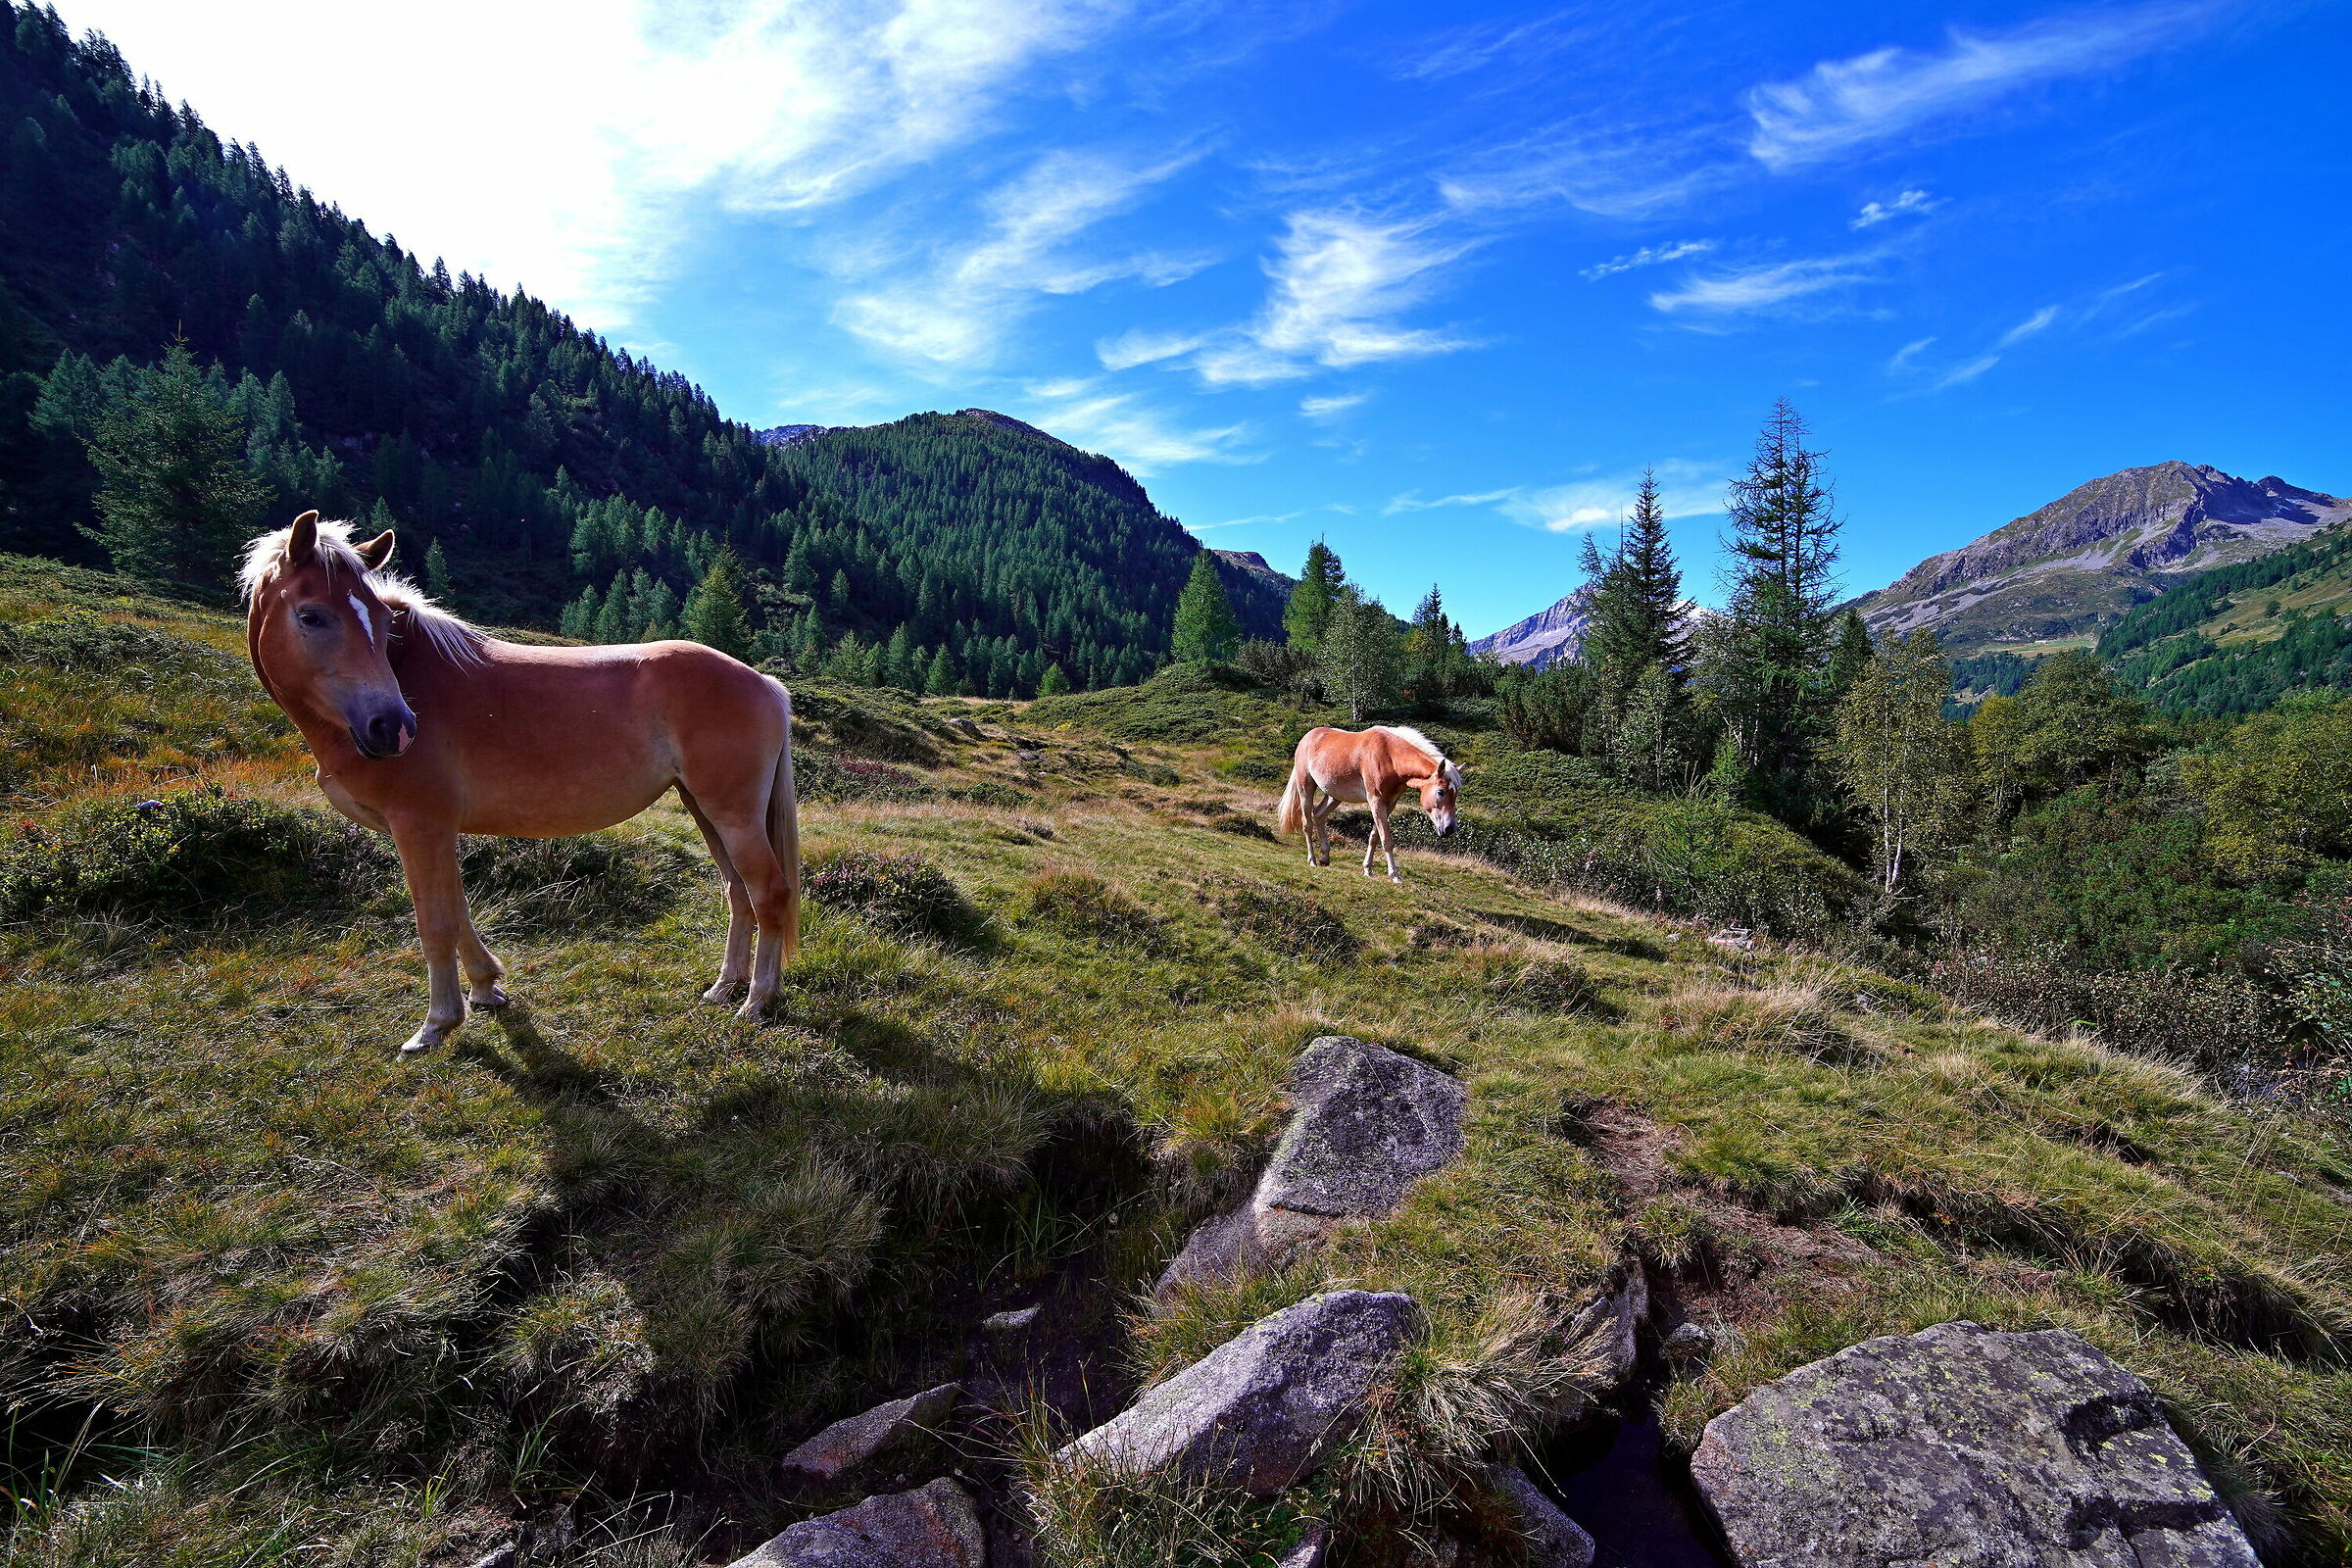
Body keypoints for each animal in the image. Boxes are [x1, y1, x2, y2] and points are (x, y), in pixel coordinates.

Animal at [240, 511, 800, 1054]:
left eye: (381, 620)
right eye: (312, 615)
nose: (393, 728)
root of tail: (764, 683)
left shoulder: (419, 826)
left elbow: (435, 922)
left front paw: (436, 1024)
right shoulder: (436, 831)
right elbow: (457, 910)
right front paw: (485, 989)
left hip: (733, 814)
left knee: (768, 891)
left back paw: (757, 1001)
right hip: (705, 810)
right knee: (739, 892)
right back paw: (725, 988)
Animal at [1276, 725, 1462, 883]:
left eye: (1456, 794)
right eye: (1440, 792)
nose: (1449, 828)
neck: (1390, 756)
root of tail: (1307, 737)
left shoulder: (1389, 803)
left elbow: (1374, 836)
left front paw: (1367, 870)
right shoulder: (1376, 801)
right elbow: (1386, 839)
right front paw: (1395, 875)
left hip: (1334, 795)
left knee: (1319, 815)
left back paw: (1325, 857)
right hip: (1305, 788)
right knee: (1307, 823)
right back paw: (1312, 860)